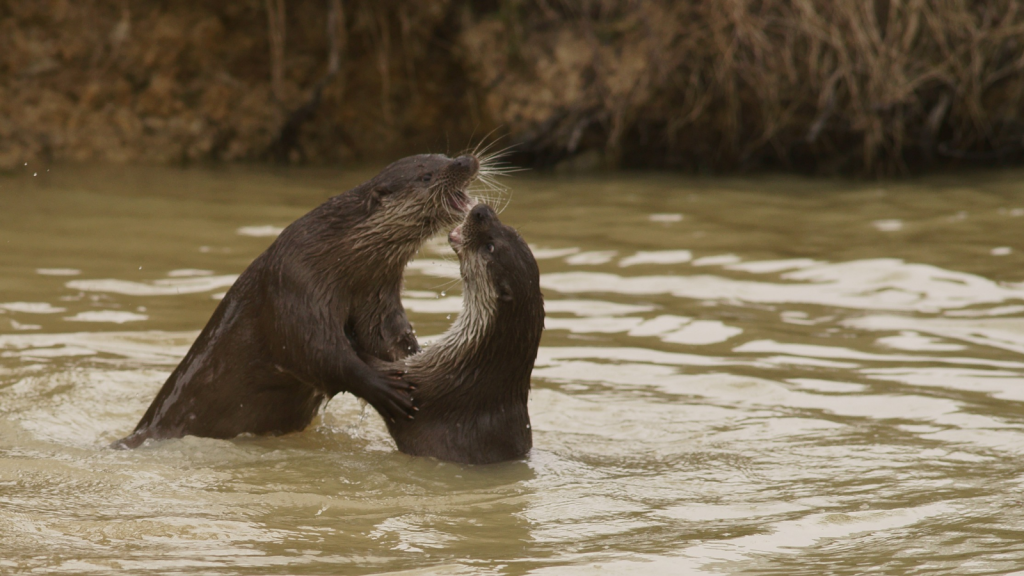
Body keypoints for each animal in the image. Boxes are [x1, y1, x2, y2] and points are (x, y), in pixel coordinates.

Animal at [117, 153, 479, 448]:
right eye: (426, 176)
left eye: (444, 155)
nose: (466, 161)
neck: (334, 254)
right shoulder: (295, 286)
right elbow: (315, 352)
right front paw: (383, 388)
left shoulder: (378, 297)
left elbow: (388, 339)